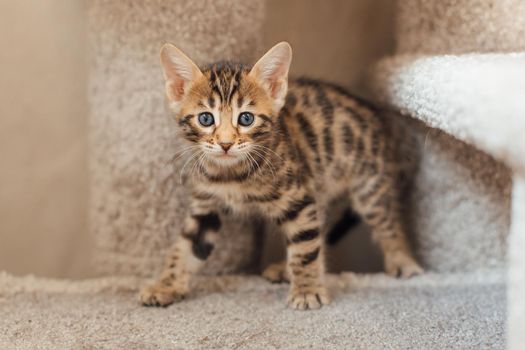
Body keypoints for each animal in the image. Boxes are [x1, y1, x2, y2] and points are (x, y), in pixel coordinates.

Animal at [139, 43, 422, 308]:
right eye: (206, 119)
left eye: (246, 118)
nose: (226, 144)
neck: (230, 175)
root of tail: (375, 114)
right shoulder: (206, 205)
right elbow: (185, 247)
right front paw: (166, 285)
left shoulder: (298, 198)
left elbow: (305, 248)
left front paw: (307, 291)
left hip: (369, 185)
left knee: (386, 222)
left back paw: (402, 261)